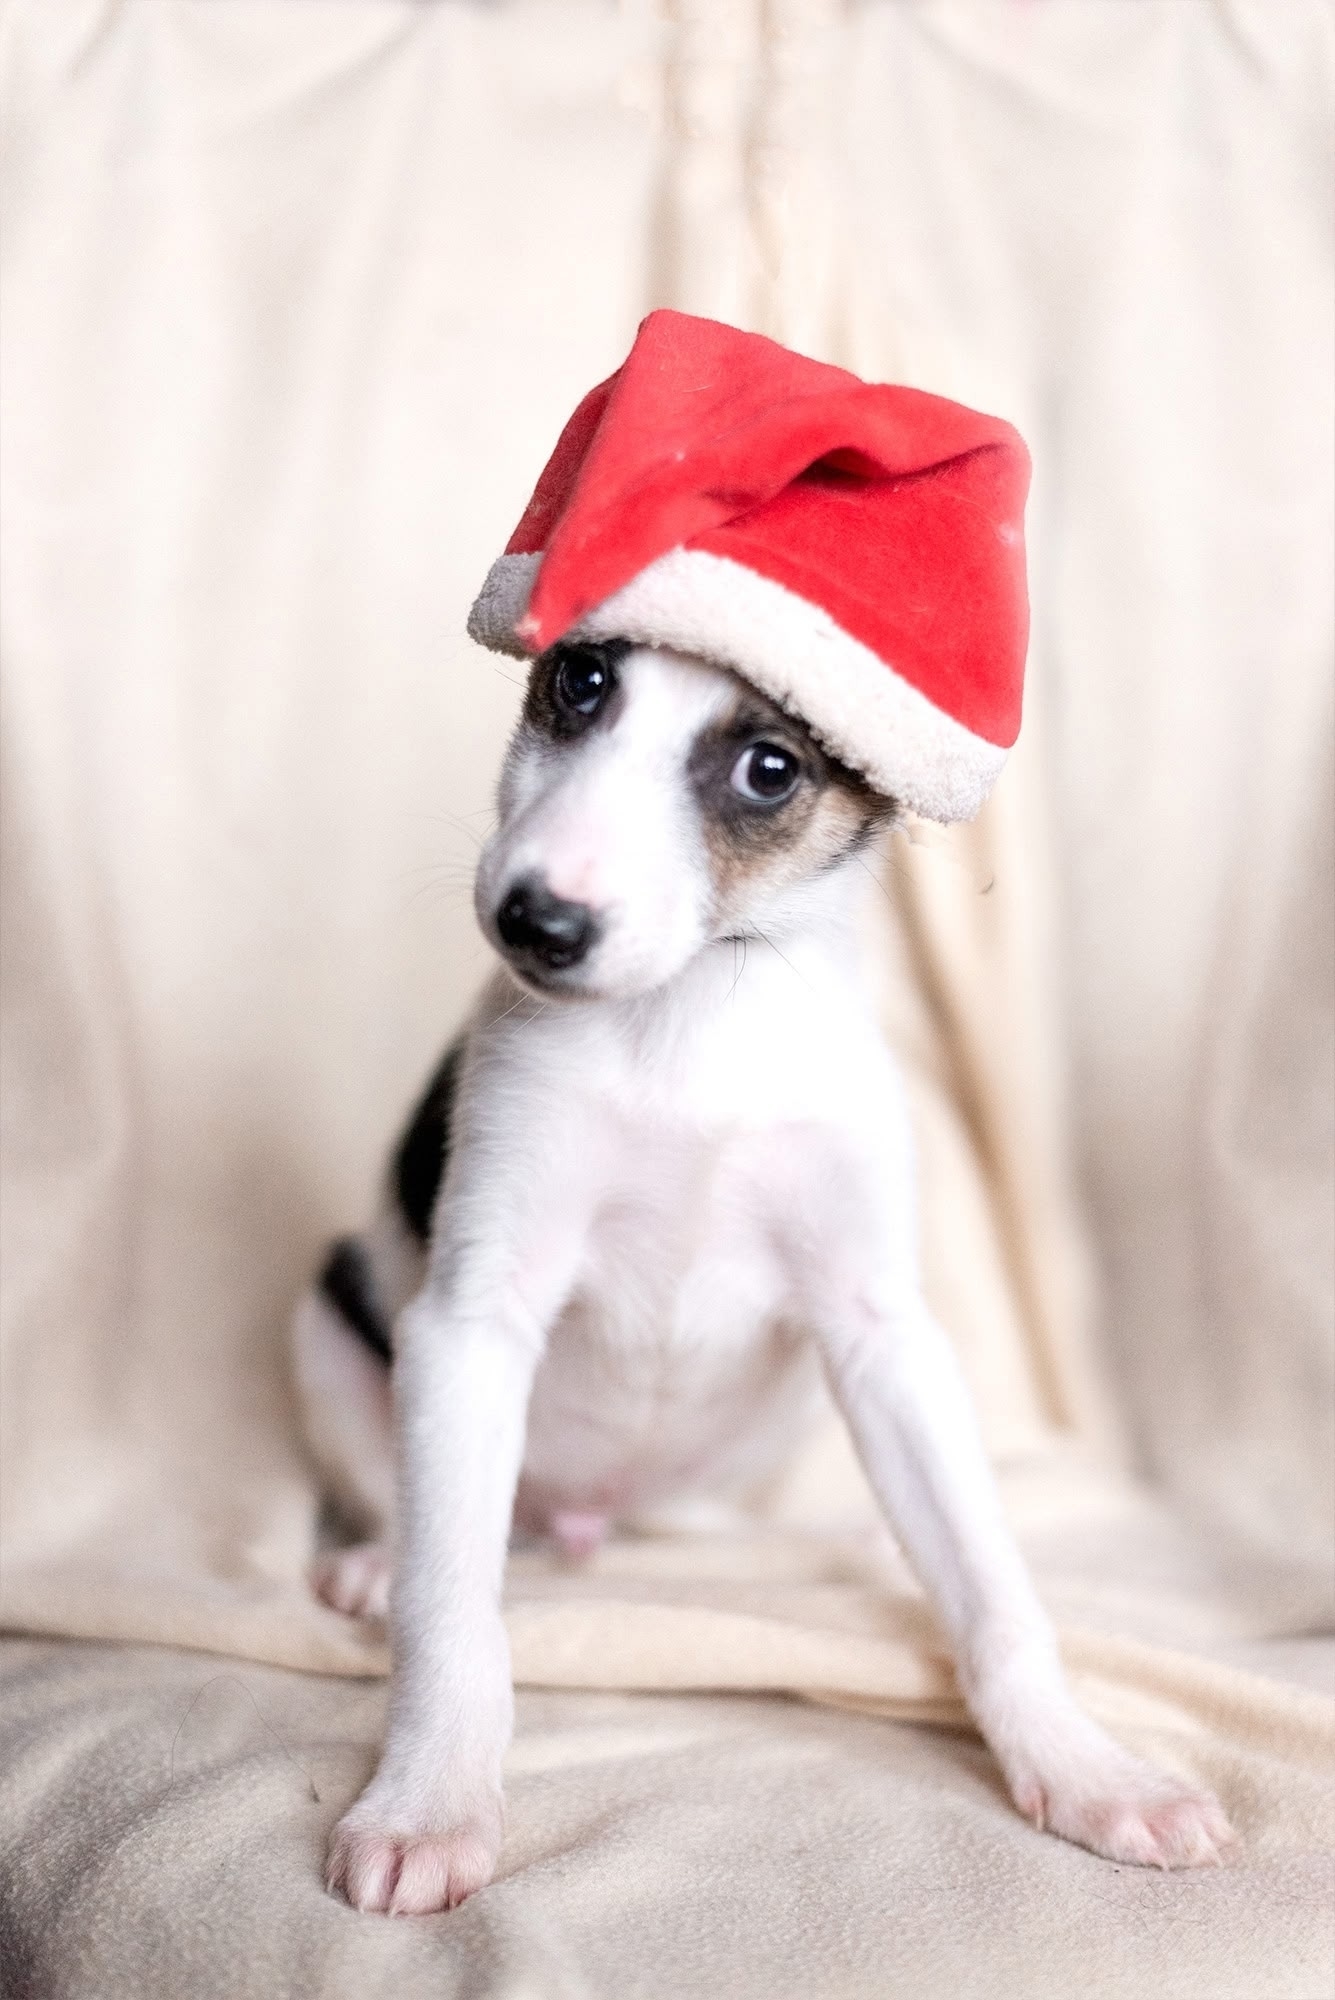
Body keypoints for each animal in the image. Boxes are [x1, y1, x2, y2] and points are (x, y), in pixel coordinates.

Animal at [294, 635, 1234, 1915]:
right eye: (581, 681)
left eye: (770, 766)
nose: (537, 919)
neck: (697, 1006)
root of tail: (581, 1518)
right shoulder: (470, 1319)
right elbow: (453, 1612)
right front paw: (428, 1799)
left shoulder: (885, 1335)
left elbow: (994, 1589)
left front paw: (1090, 1766)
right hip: (328, 1318)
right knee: (421, 1514)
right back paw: (378, 1559)